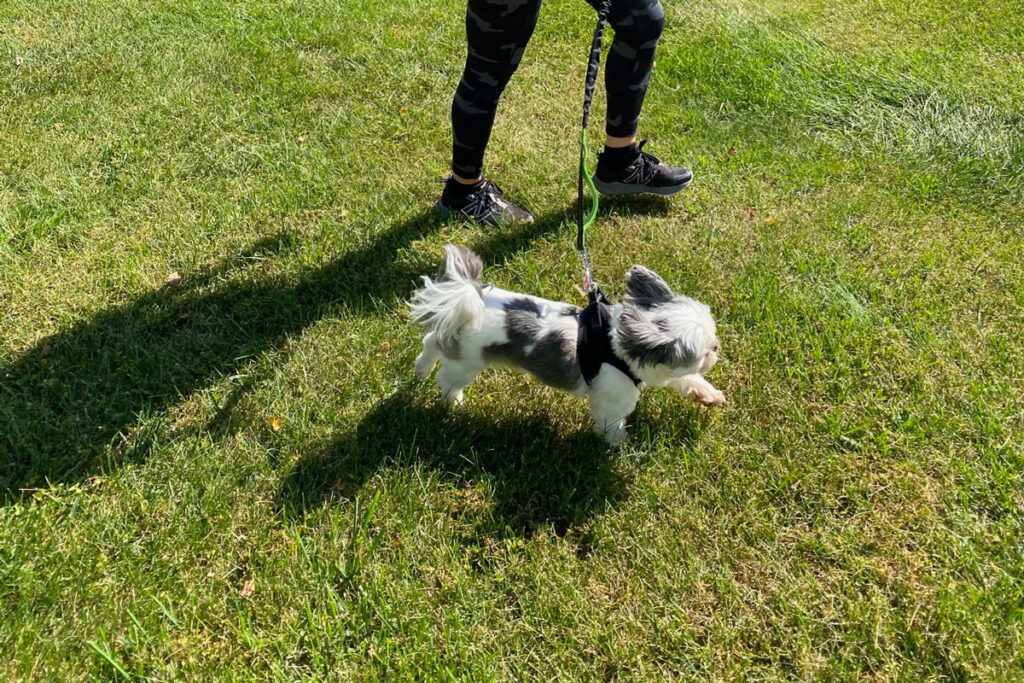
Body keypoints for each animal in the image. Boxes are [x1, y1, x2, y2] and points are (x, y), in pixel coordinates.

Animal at [409, 245, 725, 446]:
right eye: (703, 351)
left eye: (712, 336)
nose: (716, 346)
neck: (619, 345)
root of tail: (469, 296)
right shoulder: (614, 396)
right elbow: (611, 422)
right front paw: (619, 444)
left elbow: (686, 379)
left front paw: (708, 394)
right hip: (467, 362)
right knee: (447, 374)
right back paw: (452, 400)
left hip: (454, 335)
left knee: (433, 338)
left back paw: (422, 367)